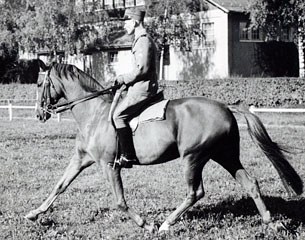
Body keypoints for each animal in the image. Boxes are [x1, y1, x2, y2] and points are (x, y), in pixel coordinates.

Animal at [25, 62, 302, 232]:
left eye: (39, 84)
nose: (39, 114)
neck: (94, 113)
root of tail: (225, 107)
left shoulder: (108, 166)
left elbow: (120, 201)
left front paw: (145, 225)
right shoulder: (81, 159)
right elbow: (60, 185)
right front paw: (34, 213)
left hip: (193, 157)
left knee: (195, 192)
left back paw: (165, 225)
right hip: (225, 155)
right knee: (250, 183)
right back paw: (271, 222)